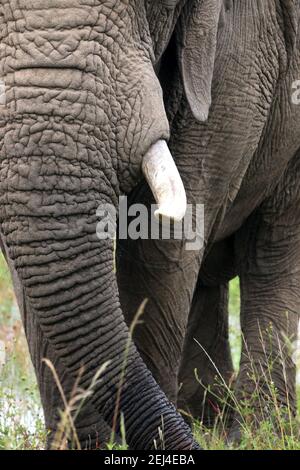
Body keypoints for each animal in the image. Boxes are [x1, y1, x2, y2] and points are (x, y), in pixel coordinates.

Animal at [0, 0, 300, 450]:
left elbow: (158, 246)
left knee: (271, 255)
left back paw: (257, 430)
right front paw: (87, 444)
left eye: (157, 5)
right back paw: (207, 418)